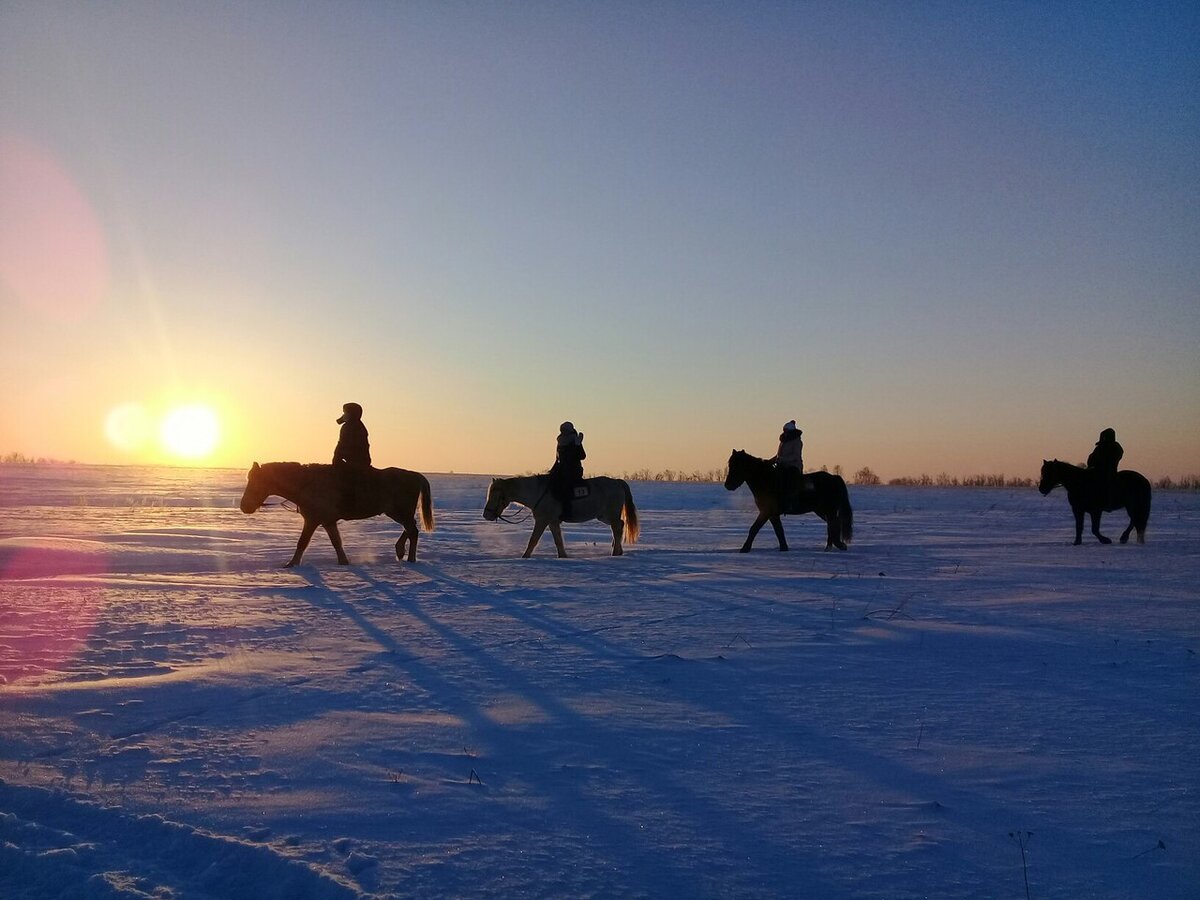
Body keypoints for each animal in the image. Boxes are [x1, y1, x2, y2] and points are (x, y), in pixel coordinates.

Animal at [238, 460, 436, 566]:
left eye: (255, 482)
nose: (244, 506)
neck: (307, 484)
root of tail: (415, 475)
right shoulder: (328, 522)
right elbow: (336, 542)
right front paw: (344, 562)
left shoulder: (312, 520)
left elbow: (302, 542)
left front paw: (292, 564)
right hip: (397, 512)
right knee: (410, 529)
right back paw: (400, 551)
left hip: (399, 512)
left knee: (413, 531)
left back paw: (410, 558)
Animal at [482, 475, 643, 561]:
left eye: (495, 494)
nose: (486, 515)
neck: (538, 492)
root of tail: (617, 481)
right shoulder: (552, 521)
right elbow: (558, 540)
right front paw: (563, 556)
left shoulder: (543, 520)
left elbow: (533, 540)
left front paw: (524, 557)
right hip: (604, 516)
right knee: (619, 526)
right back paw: (618, 551)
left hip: (610, 514)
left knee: (618, 528)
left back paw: (615, 552)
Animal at [720, 448, 854, 554]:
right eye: (730, 464)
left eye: (737, 466)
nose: (728, 485)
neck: (767, 481)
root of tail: (834, 478)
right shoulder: (772, 514)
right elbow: (779, 531)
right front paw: (784, 548)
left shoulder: (766, 512)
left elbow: (754, 528)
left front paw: (745, 548)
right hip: (821, 510)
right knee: (832, 524)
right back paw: (832, 546)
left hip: (829, 510)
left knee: (833, 524)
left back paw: (836, 545)